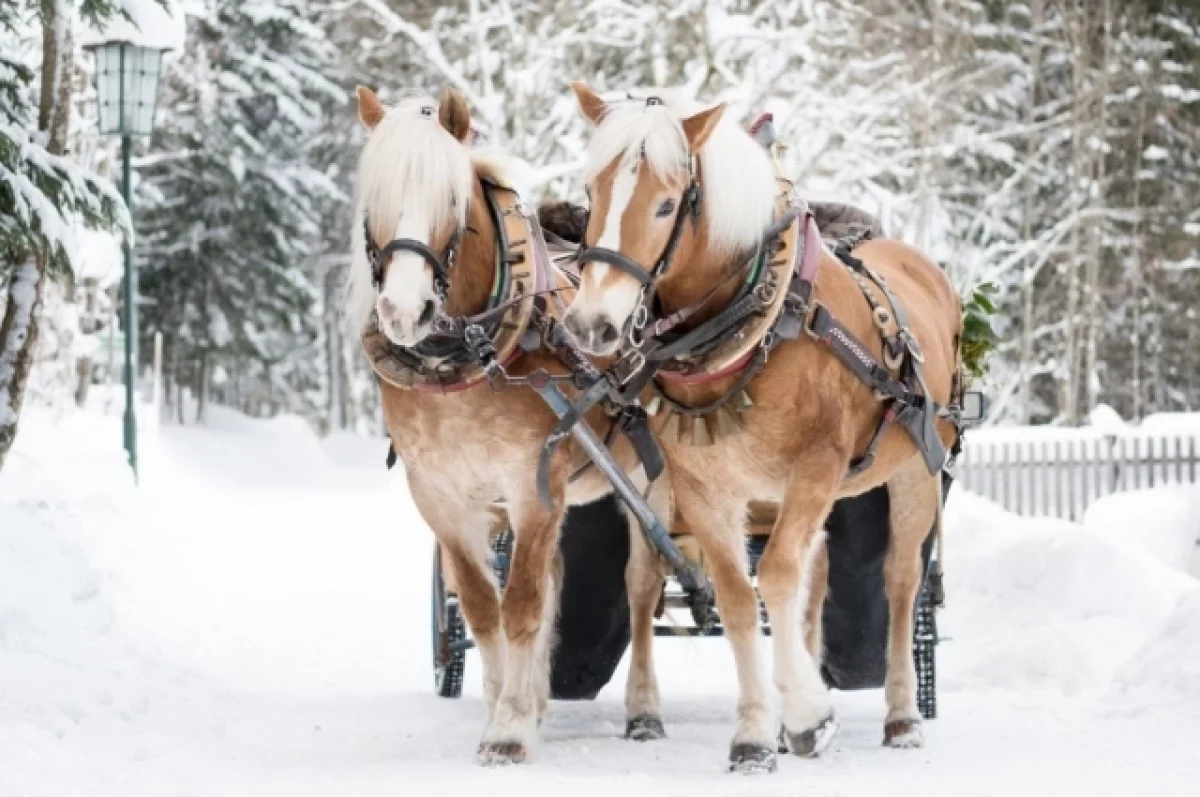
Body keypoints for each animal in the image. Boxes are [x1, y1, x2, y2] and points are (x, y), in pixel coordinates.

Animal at [345, 87, 676, 768]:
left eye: (450, 202)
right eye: (374, 203)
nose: (402, 311)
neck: (465, 358)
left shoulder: (532, 486)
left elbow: (521, 605)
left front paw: (510, 730)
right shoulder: (442, 498)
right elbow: (483, 608)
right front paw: (505, 706)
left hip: (646, 482)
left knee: (640, 588)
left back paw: (643, 710)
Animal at [561, 85, 964, 772]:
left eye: (666, 203)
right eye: (592, 193)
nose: (593, 325)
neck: (761, 324)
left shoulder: (817, 468)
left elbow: (775, 576)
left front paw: (806, 711)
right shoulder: (707, 489)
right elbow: (739, 598)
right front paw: (756, 733)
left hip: (916, 471)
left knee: (901, 582)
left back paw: (903, 716)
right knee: (810, 580)